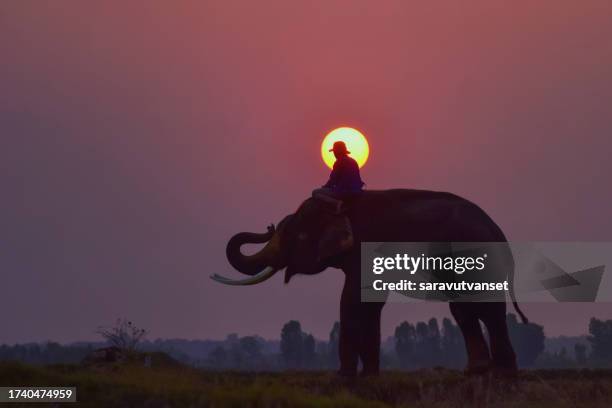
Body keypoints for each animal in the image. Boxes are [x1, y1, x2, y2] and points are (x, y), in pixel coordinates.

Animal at [212, 190, 524, 378]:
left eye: (294, 236)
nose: (268, 226)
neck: (341, 205)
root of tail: (498, 231)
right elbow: (369, 302)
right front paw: (368, 375)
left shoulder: (365, 250)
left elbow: (351, 299)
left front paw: (345, 377)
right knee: (464, 309)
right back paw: (478, 372)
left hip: (474, 255)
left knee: (484, 308)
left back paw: (503, 375)